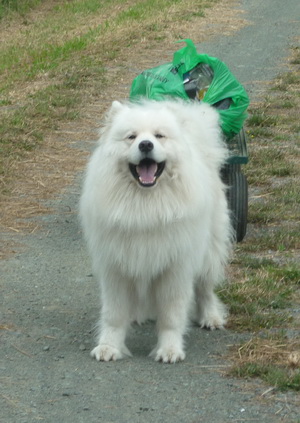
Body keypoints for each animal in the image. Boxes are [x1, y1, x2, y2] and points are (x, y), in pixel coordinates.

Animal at [79, 99, 232, 364]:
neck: (145, 205)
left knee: (205, 288)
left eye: (159, 136)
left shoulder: (175, 268)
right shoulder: (117, 267)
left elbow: (171, 316)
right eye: (131, 137)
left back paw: (210, 317)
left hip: (209, 251)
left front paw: (169, 350)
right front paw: (109, 346)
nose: (146, 144)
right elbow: (114, 314)